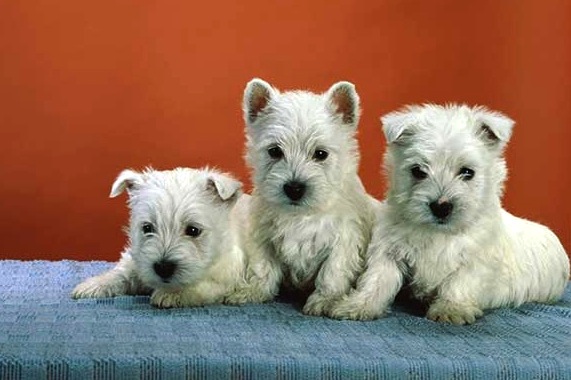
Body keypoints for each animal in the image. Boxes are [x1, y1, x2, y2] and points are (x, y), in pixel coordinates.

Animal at [70, 167, 251, 308]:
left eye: (193, 230)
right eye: (147, 228)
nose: (163, 268)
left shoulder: (225, 273)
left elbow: (204, 285)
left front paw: (171, 294)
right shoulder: (139, 260)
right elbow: (121, 273)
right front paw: (92, 285)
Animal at [225, 77, 380, 314]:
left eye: (320, 154)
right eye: (275, 151)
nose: (294, 188)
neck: (301, 213)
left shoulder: (344, 240)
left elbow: (332, 273)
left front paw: (324, 301)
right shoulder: (263, 237)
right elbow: (263, 267)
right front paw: (252, 291)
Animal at [332, 104, 568, 324]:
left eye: (467, 172)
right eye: (418, 171)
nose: (441, 206)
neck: (439, 232)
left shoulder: (476, 258)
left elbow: (460, 281)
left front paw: (451, 309)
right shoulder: (390, 252)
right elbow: (377, 280)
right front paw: (357, 306)